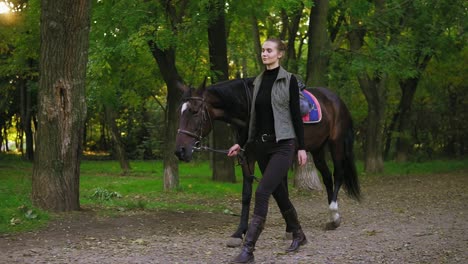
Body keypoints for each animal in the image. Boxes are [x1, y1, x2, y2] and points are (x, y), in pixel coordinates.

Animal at [174, 78, 360, 245]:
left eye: (195, 111)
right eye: (180, 112)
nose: (180, 151)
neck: (250, 111)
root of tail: (336, 99)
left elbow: (278, 191)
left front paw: (290, 229)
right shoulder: (248, 156)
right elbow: (247, 195)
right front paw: (239, 232)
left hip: (336, 144)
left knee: (338, 175)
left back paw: (334, 214)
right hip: (317, 148)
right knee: (327, 177)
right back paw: (333, 218)